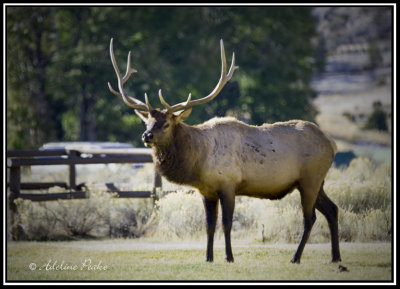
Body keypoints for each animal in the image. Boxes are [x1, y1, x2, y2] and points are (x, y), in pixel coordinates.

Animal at [108, 38, 340, 264]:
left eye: (165, 124)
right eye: (147, 122)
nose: (146, 136)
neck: (198, 161)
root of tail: (331, 143)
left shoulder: (228, 184)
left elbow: (226, 224)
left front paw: (229, 257)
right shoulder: (206, 191)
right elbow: (208, 225)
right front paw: (208, 257)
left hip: (310, 179)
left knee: (310, 218)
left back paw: (296, 257)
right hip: (315, 182)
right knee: (332, 209)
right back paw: (335, 256)